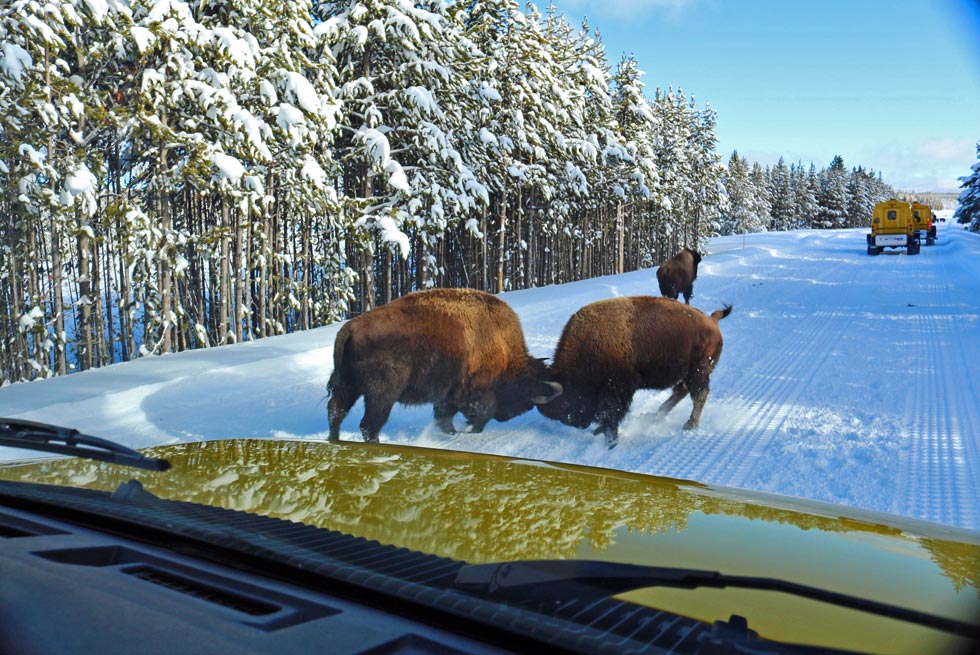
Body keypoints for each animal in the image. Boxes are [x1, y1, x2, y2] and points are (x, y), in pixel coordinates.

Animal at [327, 288, 562, 442]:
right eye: (524, 399)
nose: (504, 417)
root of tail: (350, 328)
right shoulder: (473, 392)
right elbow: (474, 413)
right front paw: (466, 431)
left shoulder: (448, 395)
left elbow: (445, 417)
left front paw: (453, 432)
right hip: (381, 395)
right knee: (369, 425)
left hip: (349, 387)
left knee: (336, 411)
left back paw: (335, 441)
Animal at [537, 296, 732, 448]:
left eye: (565, 403)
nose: (581, 424)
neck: (591, 343)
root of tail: (712, 321)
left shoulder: (617, 389)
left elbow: (611, 412)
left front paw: (610, 440)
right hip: (685, 373)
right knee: (682, 391)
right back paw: (656, 415)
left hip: (698, 371)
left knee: (699, 394)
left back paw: (690, 424)